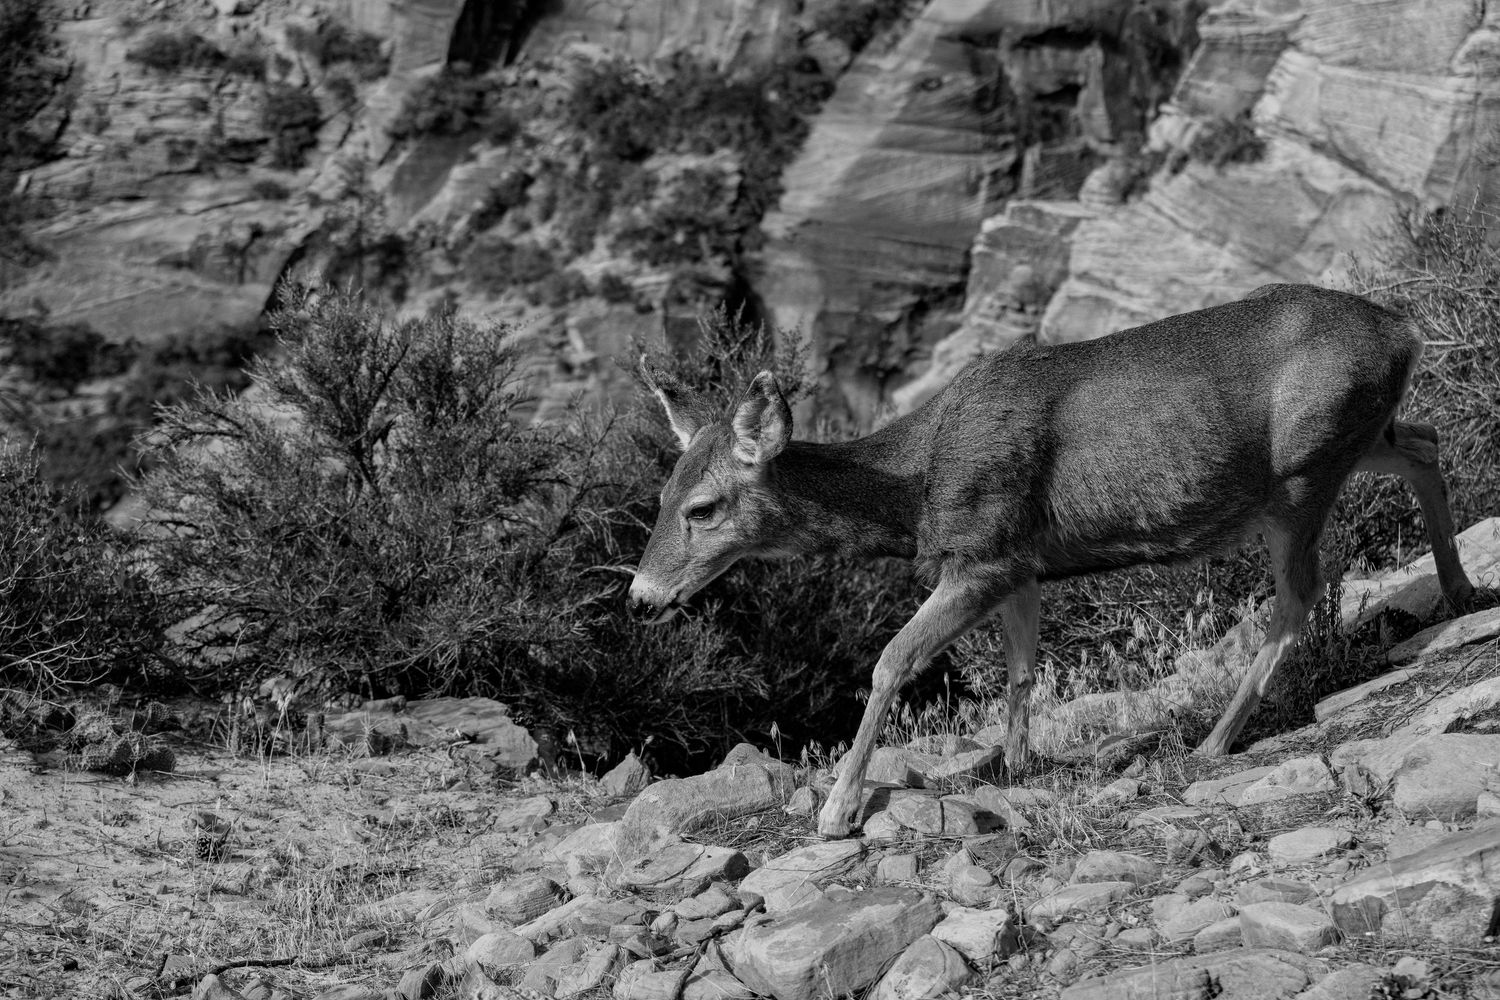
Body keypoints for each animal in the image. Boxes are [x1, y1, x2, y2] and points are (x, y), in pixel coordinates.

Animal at [627, 283, 1475, 839]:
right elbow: (1021, 669)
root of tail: (1405, 329)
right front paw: (1014, 766)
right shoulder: (1019, 565)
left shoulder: (981, 555)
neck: (919, 485)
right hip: (1352, 442)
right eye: (660, 495)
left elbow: (892, 660)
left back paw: (1213, 741)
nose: (640, 596)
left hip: (1301, 473)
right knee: (1426, 443)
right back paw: (1463, 592)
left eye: (702, 509)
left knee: (1298, 600)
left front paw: (838, 810)